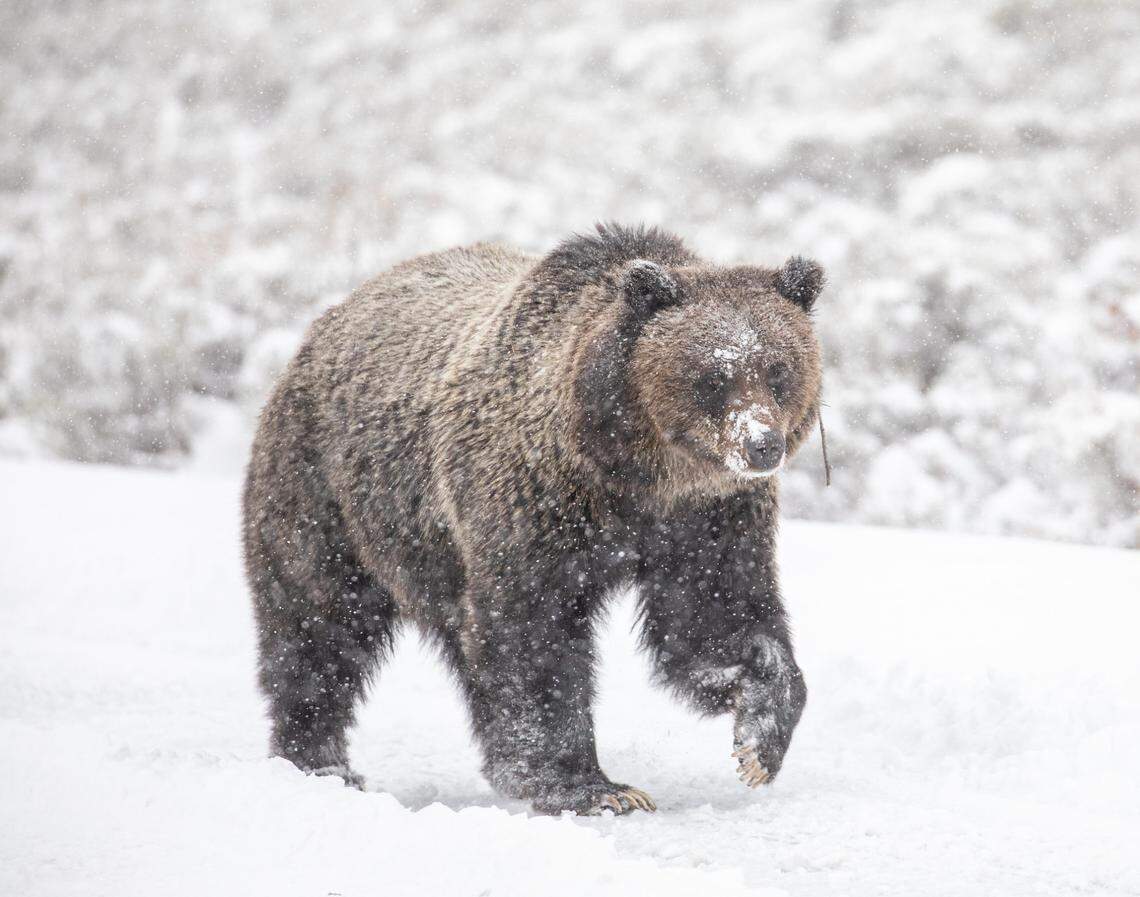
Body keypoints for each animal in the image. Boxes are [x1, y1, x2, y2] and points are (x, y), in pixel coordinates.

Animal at [242, 223, 823, 815]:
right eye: (713, 375)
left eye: (779, 370)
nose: (761, 444)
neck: (634, 478)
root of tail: (326, 321)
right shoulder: (534, 503)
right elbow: (535, 634)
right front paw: (591, 786)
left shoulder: (708, 520)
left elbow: (717, 616)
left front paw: (758, 739)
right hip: (329, 497)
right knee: (318, 626)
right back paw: (320, 762)